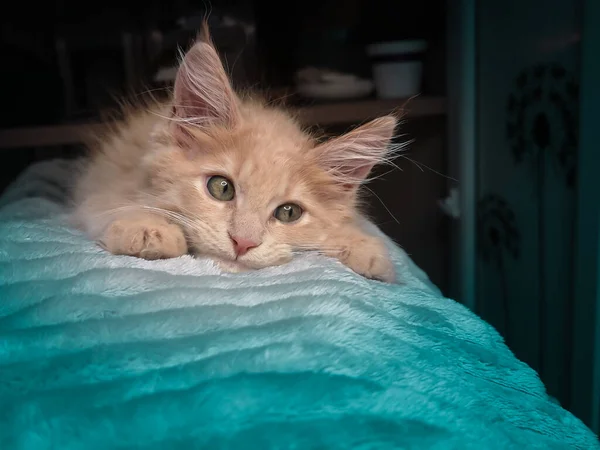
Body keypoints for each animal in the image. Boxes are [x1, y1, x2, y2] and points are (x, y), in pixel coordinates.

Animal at [72, 23, 400, 282]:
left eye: (289, 212)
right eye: (221, 187)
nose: (243, 242)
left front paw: (361, 246)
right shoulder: (107, 180)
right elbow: (107, 204)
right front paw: (147, 227)